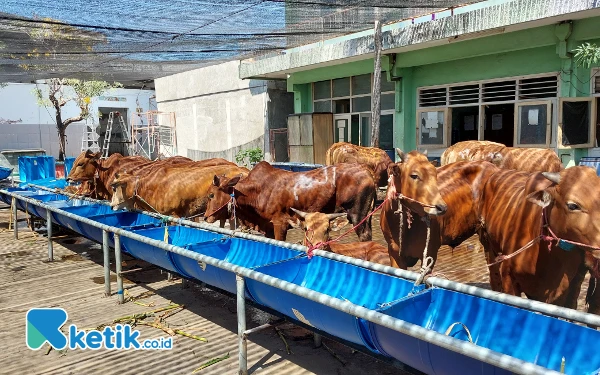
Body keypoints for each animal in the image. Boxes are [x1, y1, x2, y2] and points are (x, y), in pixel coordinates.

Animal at [204, 162, 378, 241]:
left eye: (211, 195)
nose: (205, 217)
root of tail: (367, 172)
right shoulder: (267, 226)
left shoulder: (279, 224)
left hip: (357, 216)